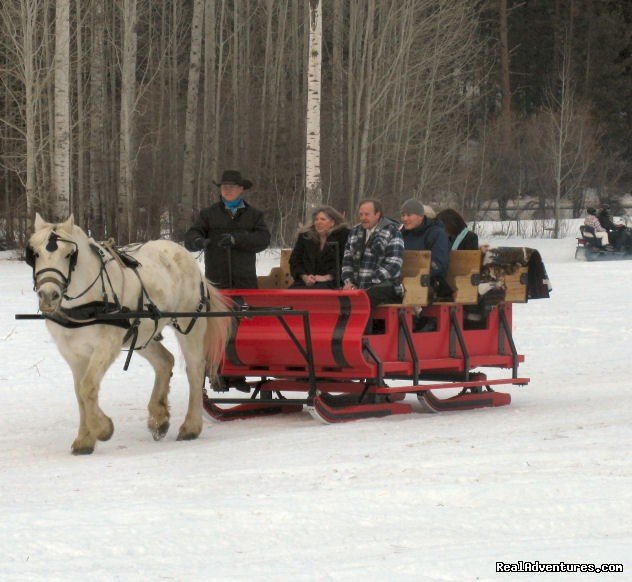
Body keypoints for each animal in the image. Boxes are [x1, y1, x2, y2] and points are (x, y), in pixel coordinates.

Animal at [27, 214, 230, 456]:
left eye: (68, 254)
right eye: (35, 253)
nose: (48, 295)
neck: (84, 304)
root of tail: (184, 253)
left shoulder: (106, 345)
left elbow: (87, 387)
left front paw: (103, 429)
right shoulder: (73, 353)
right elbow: (79, 392)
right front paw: (85, 439)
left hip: (190, 323)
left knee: (195, 370)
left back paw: (190, 426)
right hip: (142, 333)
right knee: (165, 361)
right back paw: (159, 419)